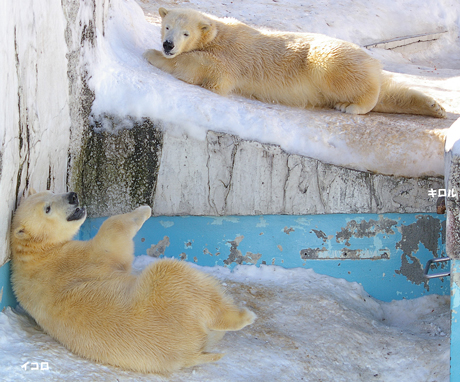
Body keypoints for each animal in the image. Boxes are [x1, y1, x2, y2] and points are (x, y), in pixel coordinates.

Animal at [10, 190, 255, 374]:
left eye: (52, 190)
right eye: (47, 208)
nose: (72, 196)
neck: (35, 253)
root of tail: (187, 353)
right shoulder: (78, 258)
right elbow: (112, 234)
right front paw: (143, 209)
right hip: (169, 300)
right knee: (174, 275)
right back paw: (242, 315)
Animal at [145, 7, 446, 118]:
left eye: (185, 32)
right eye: (167, 26)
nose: (168, 45)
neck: (218, 34)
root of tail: (372, 60)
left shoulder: (231, 57)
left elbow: (206, 69)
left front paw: (151, 55)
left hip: (326, 59)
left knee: (351, 80)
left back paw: (350, 106)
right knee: (390, 92)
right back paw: (434, 107)